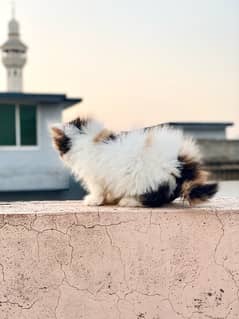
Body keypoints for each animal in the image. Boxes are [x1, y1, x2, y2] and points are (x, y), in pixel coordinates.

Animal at [51, 117, 218, 208]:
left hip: (150, 179)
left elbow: (98, 190)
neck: (88, 140)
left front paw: (93, 201)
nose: (60, 157)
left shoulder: (95, 177)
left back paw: (129, 201)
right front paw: (109, 199)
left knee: (154, 198)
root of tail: (179, 160)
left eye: (60, 147)